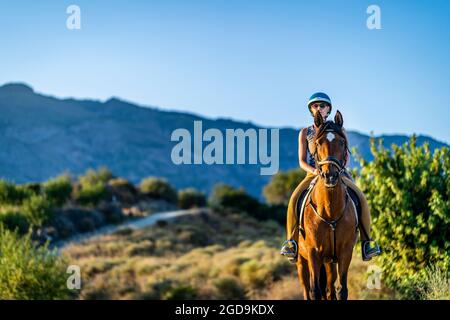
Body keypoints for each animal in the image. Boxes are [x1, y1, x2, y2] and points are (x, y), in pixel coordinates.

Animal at [296, 110, 358, 300]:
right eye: (317, 143)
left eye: (342, 142)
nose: (329, 175)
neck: (330, 211)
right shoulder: (313, 253)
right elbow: (314, 291)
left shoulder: (345, 252)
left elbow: (341, 290)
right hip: (302, 262)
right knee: (306, 289)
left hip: (330, 262)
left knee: (330, 289)